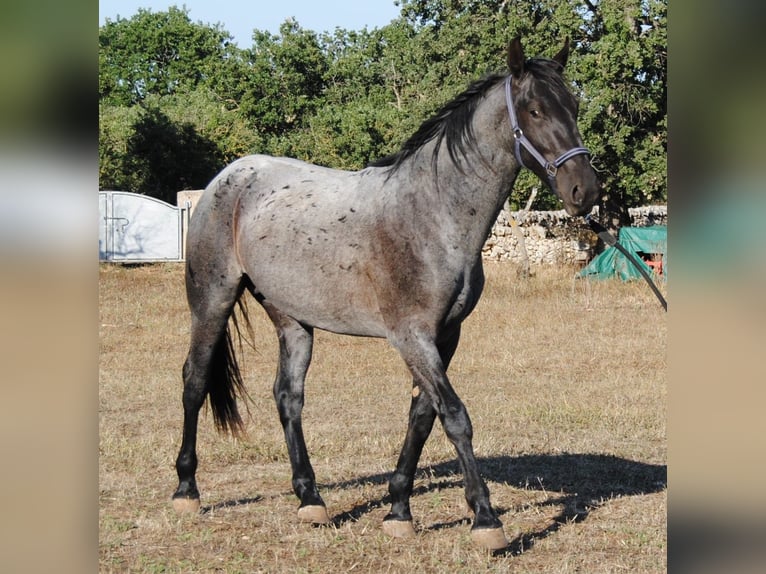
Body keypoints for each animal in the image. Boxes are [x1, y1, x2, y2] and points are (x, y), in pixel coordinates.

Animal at [172, 38, 600, 552]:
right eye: (535, 111)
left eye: (574, 107)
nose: (585, 191)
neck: (431, 213)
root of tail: (231, 175)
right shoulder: (411, 336)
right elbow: (455, 416)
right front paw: (485, 519)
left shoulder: (445, 336)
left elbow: (422, 417)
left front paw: (398, 510)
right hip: (211, 301)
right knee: (194, 381)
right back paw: (186, 490)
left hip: (293, 320)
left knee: (288, 397)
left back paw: (310, 499)